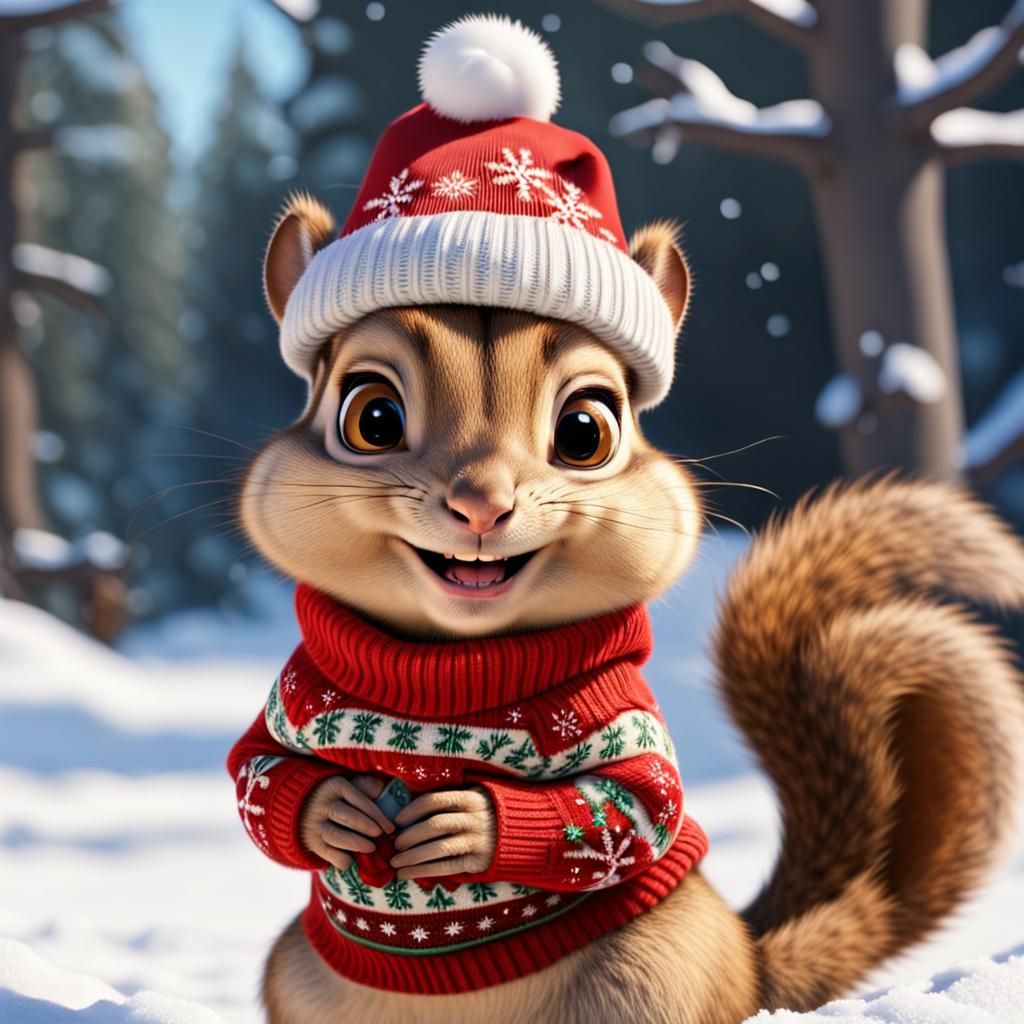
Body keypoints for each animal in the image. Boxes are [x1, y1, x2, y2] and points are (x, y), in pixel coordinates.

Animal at [227, 15, 1024, 1024]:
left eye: (585, 430)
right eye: (371, 417)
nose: (482, 503)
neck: (446, 668)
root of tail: (748, 968)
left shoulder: (625, 721)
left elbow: (632, 805)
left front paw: (471, 824)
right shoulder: (292, 699)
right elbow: (256, 774)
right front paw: (329, 805)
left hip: (647, 979)